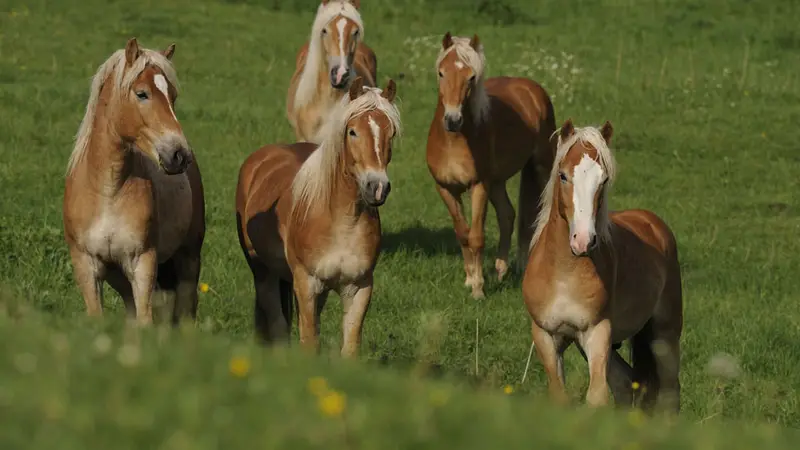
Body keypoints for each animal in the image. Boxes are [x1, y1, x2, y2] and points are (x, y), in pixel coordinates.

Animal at [63, 38, 205, 326]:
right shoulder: (86, 265)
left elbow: (146, 319)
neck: (108, 191)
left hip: (188, 258)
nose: (179, 154)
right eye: (142, 94)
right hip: (119, 277)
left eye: (173, 96)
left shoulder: (143, 263)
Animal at [237, 78, 400, 357]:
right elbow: (309, 342)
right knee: (277, 323)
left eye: (390, 133)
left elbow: (349, 347)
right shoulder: (306, 284)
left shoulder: (359, 288)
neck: (342, 222)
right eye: (352, 132)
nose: (377, 187)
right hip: (262, 270)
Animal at [426, 32, 557, 299]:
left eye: (471, 77)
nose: (452, 120)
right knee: (507, 215)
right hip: (497, 182)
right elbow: (462, 233)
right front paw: (470, 279)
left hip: (539, 169)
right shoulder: (445, 188)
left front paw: (478, 289)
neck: (453, 141)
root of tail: (530, 89)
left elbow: (476, 236)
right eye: (441, 73)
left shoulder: (479, 186)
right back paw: (500, 269)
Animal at [522, 119, 683, 412]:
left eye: (604, 179)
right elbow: (560, 396)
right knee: (626, 383)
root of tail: (654, 224)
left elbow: (596, 397)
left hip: (664, 335)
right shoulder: (546, 336)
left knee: (669, 392)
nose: (583, 240)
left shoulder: (597, 332)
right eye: (563, 175)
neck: (563, 274)